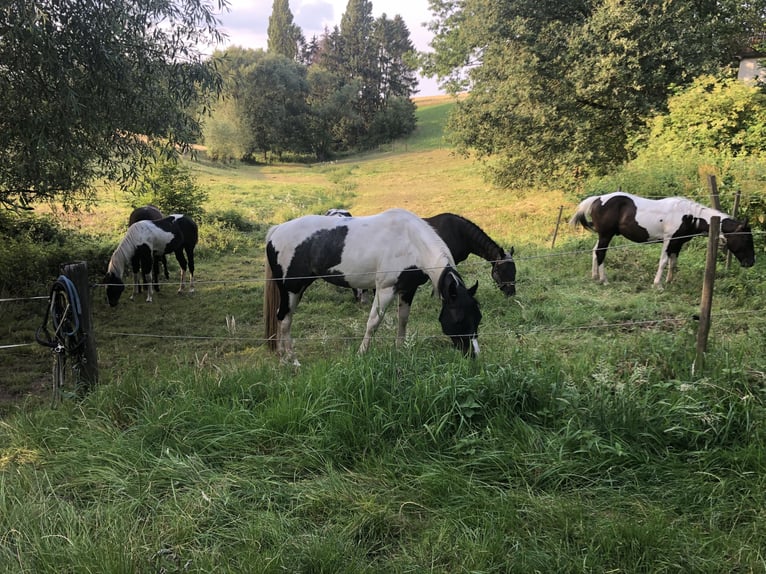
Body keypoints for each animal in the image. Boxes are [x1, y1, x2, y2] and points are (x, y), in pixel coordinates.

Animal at [264, 209, 480, 366]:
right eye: (459, 318)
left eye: (478, 317)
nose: (474, 355)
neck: (410, 241)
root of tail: (276, 230)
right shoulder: (385, 289)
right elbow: (373, 322)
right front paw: (361, 354)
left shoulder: (407, 289)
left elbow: (403, 320)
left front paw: (400, 350)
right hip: (292, 288)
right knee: (285, 319)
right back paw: (291, 361)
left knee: (282, 317)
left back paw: (283, 357)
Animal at [568, 192, 756, 286]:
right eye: (746, 239)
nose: (751, 262)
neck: (689, 216)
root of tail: (597, 200)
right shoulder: (668, 241)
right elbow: (663, 261)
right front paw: (657, 284)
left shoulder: (677, 244)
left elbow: (673, 263)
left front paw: (670, 282)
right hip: (606, 235)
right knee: (600, 253)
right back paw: (604, 280)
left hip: (602, 235)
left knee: (595, 252)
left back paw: (594, 276)